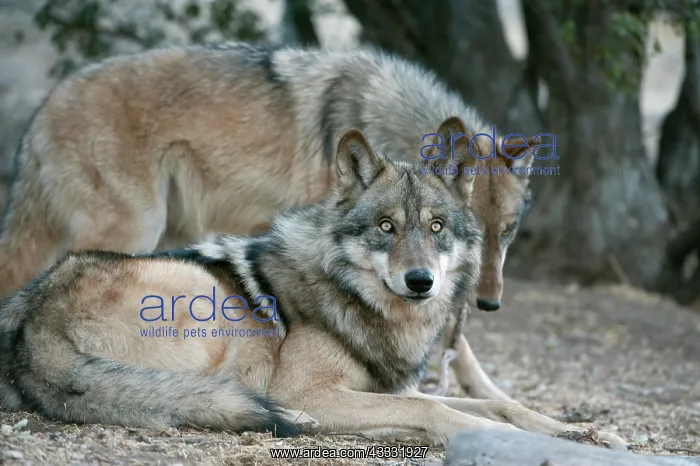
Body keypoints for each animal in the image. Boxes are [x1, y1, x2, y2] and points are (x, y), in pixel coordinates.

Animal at [0, 42, 536, 400]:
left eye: (507, 232)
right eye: (387, 226)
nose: (489, 302)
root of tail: (43, 109)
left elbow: (462, 353)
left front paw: (511, 405)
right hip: (137, 233)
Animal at [0, 130, 627, 448]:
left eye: (435, 228)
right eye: (386, 227)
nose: (420, 281)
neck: (362, 304)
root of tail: (31, 325)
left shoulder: (391, 389)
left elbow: (497, 403)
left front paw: (579, 432)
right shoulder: (314, 388)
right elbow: (442, 408)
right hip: (203, 297)